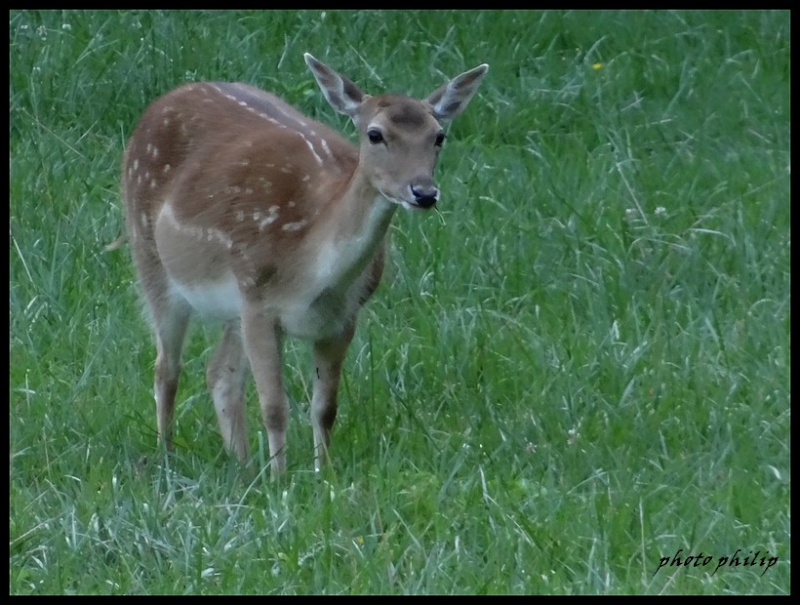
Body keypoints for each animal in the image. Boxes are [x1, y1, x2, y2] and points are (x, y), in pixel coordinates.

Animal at [122, 53, 488, 476]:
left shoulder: (342, 318)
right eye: (375, 134)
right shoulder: (258, 301)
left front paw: (321, 474)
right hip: (150, 254)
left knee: (219, 373)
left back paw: (242, 464)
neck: (312, 274)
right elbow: (274, 407)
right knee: (166, 368)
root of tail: (163, 100)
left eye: (439, 135)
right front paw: (280, 479)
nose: (424, 192)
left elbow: (325, 409)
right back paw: (166, 457)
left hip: (230, 307)